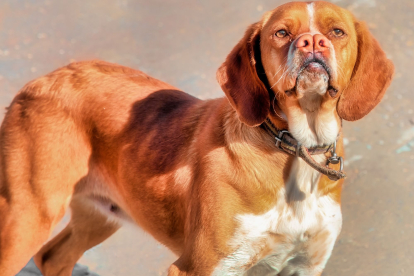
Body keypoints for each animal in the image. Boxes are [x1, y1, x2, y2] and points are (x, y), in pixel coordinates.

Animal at [0, 2, 394, 276]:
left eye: (338, 31)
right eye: (281, 33)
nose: (313, 42)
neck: (294, 147)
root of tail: (41, 80)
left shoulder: (304, 265)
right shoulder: (203, 266)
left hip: (99, 214)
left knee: (53, 256)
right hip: (28, 214)